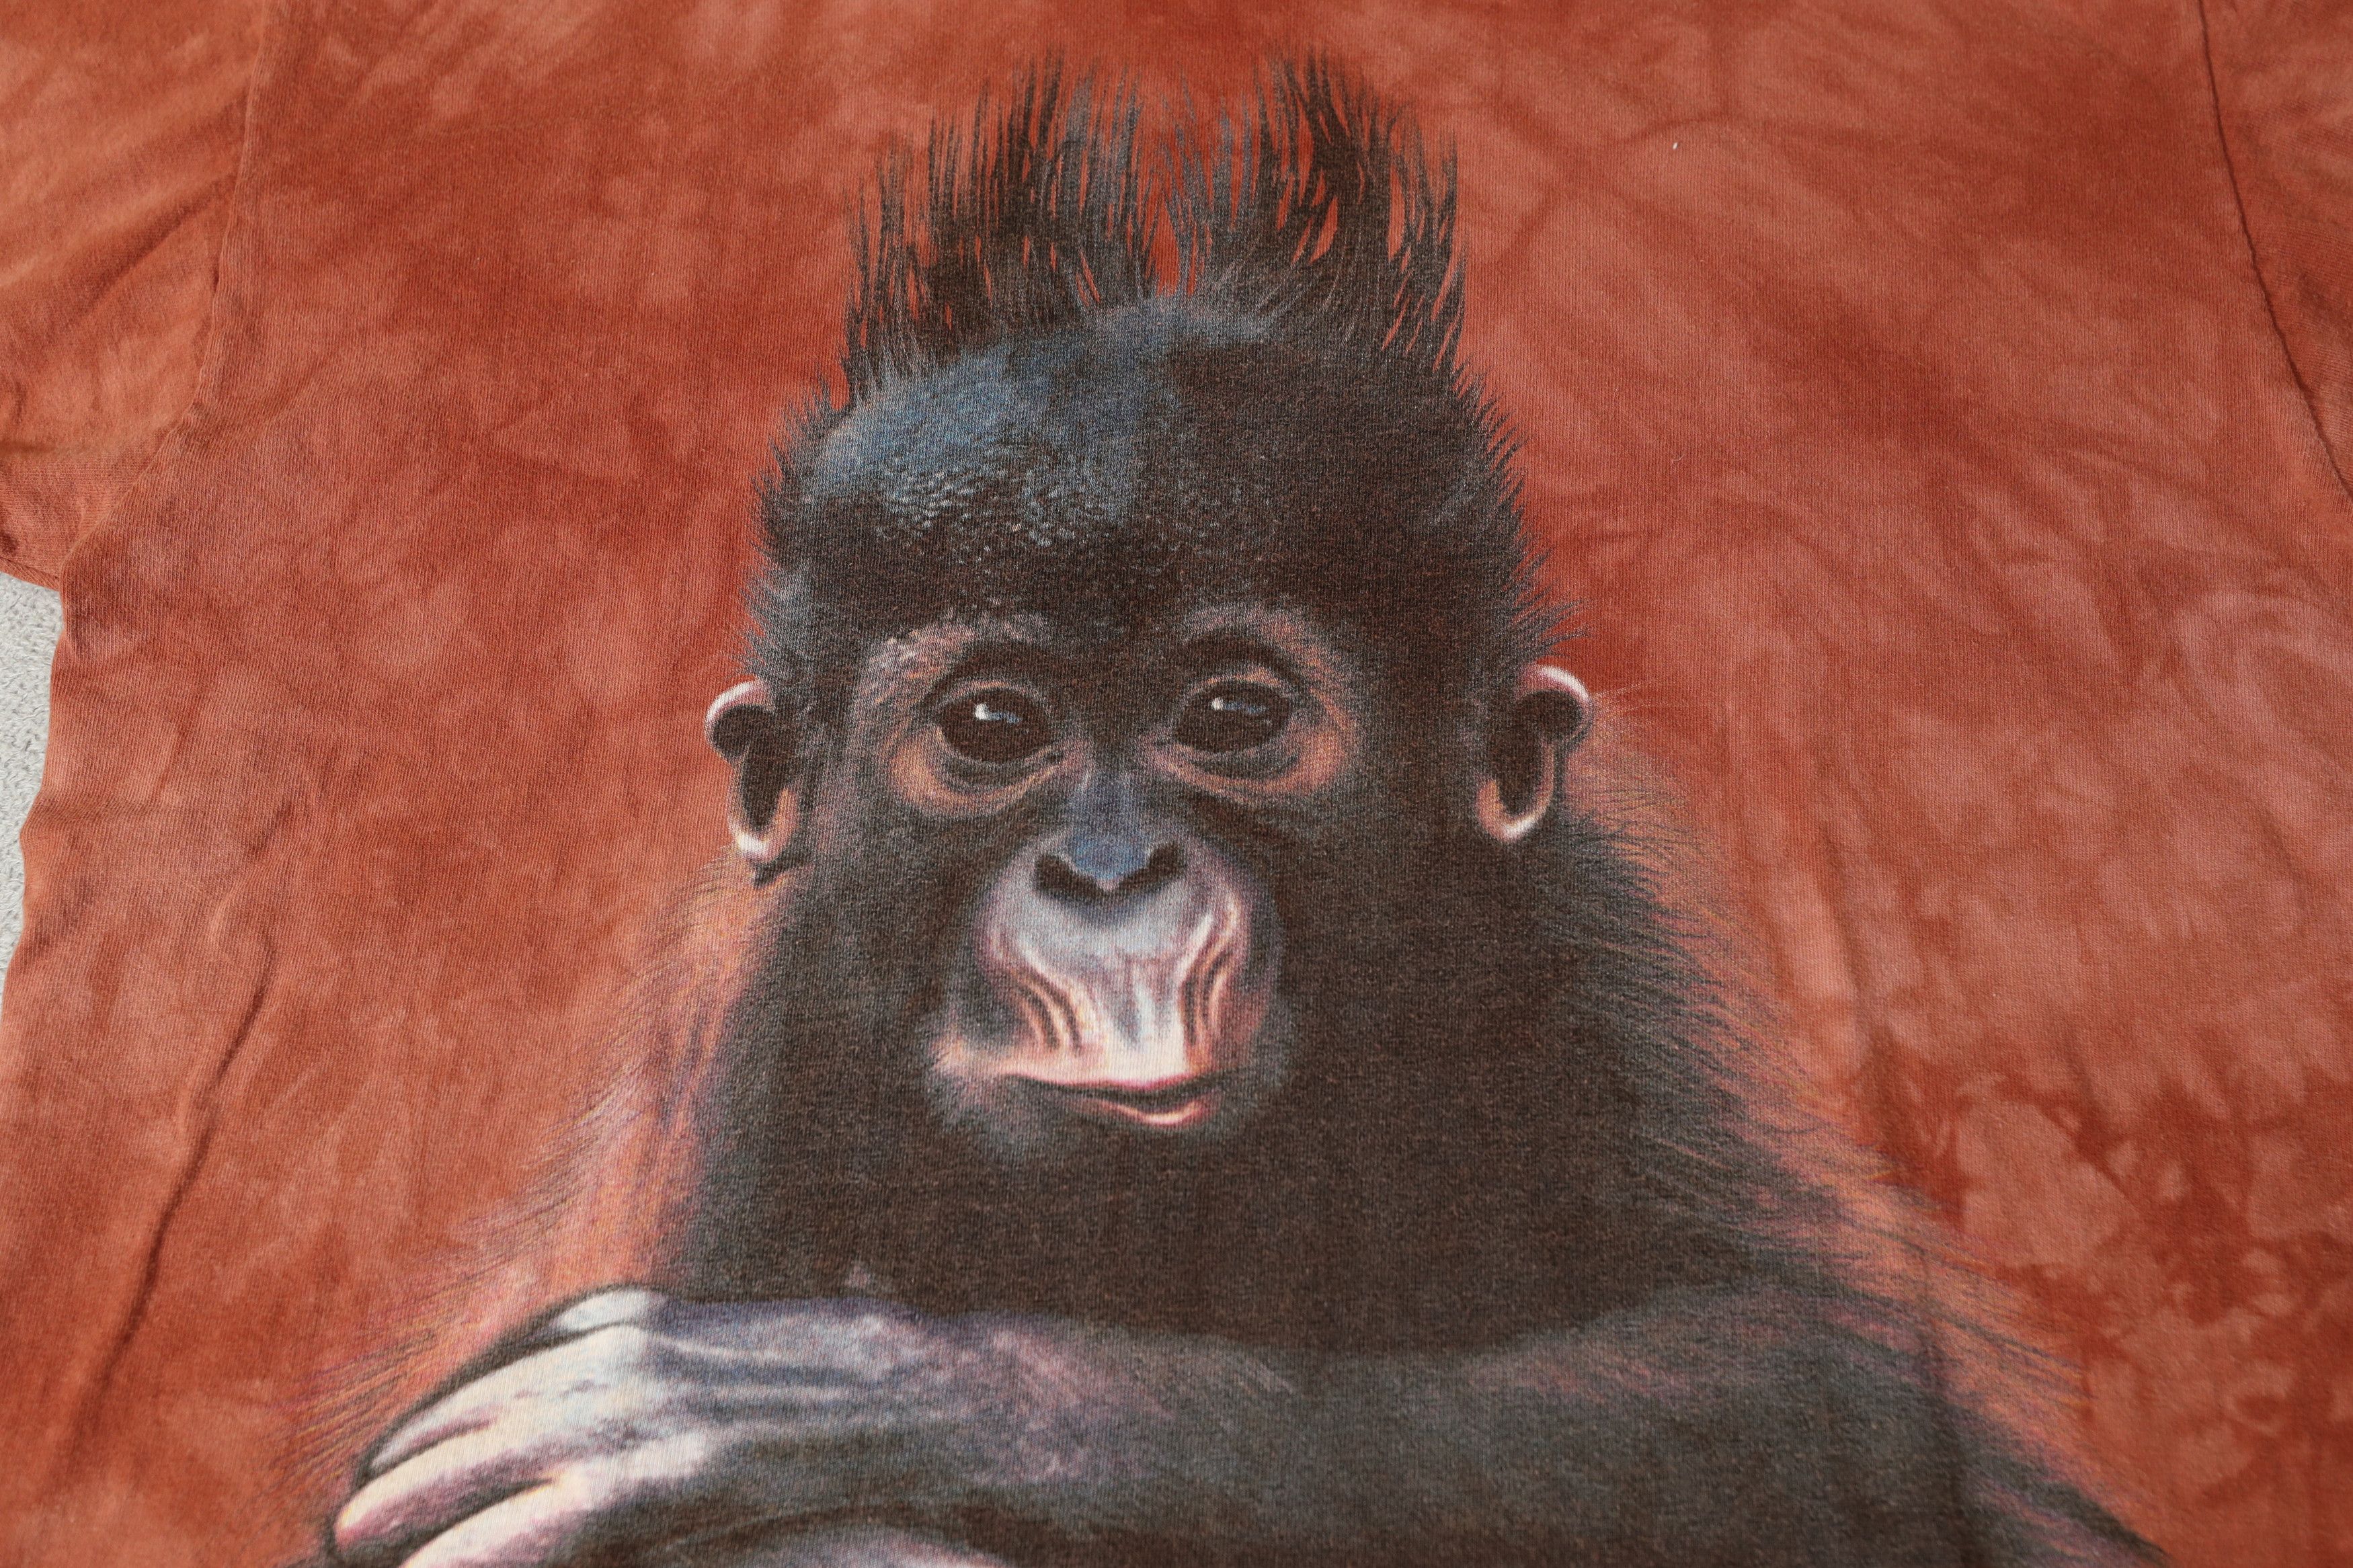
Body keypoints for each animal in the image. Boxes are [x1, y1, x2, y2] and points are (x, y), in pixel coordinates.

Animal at [323, 63, 2159, 1568]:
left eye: (1232, 719)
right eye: (993, 728)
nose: (1108, 868)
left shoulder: (1575, 928)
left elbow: (1855, 1410)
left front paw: (891, 1395)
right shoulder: (745, 1036)